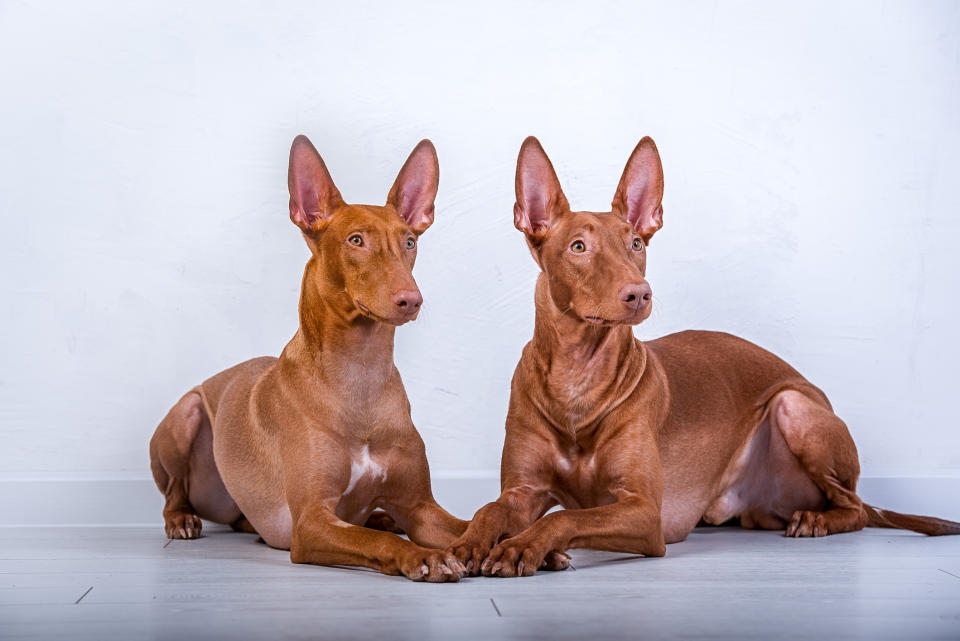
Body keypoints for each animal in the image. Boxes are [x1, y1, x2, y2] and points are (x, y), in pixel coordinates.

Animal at [148, 134, 466, 580]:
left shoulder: (421, 508)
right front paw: (424, 556)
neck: (360, 374)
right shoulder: (311, 521)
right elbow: (375, 542)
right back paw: (180, 519)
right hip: (187, 414)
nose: (411, 299)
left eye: (410, 242)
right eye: (356, 240)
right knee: (175, 491)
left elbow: (475, 523)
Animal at [448, 135, 960, 576]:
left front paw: (524, 546)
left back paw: (818, 520)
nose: (639, 293)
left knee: (855, 508)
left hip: (792, 406)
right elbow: (488, 509)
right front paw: (468, 543)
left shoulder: (645, 514)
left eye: (636, 244)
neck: (579, 377)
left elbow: (564, 519)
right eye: (578, 247)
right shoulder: (522, 490)